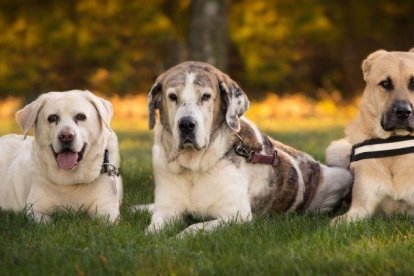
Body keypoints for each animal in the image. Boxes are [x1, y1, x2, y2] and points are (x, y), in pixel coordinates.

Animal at [0, 90, 122, 222]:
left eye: (81, 116)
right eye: (52, 118)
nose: (66, 136)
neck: (71, 181)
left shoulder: (106, 210)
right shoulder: (35, 210)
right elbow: (46, 222)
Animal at [135, 61, 352, 236]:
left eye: (206, 96)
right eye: (172, 96)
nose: (186, 124)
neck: (192, 168)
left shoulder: (235, 215)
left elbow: (193, 228)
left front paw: (178, 237)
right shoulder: (167, 210)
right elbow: (151, 230)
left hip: (339, 177)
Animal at [328, 48, 414, 223]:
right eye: (386, 83)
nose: (403, 112)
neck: (393, 142)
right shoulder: (360, 208)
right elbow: (336, 222)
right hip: (337, 149)